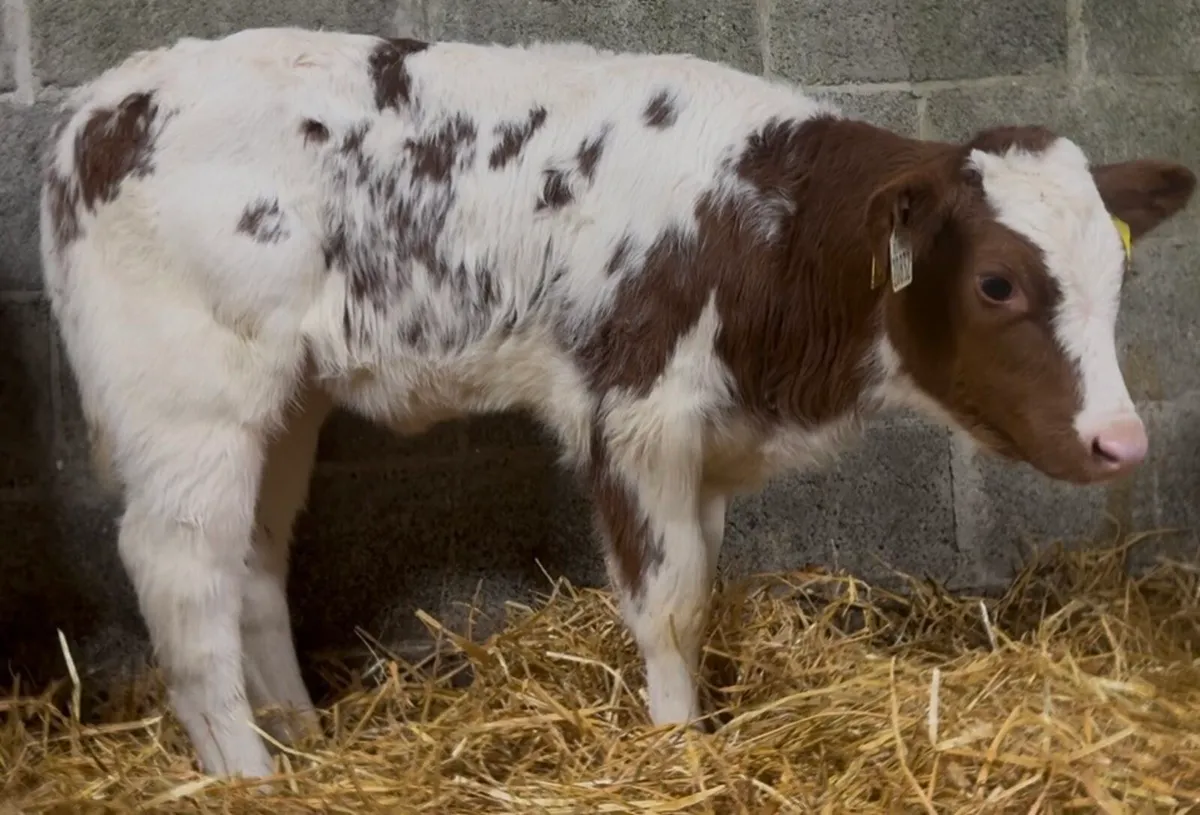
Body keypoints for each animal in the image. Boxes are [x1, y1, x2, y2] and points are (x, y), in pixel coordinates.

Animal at [38, 27, 1195, 779]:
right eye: (996, 283)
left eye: (1118, 270)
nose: (1120, 439)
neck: (764, 231)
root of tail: (103, 102)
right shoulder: (633, 410)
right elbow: (668, 599)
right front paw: (679, 750)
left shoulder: (711, 439)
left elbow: (705, 587)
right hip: (188, 398)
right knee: (181, 574)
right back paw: (246, 774)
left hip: (287, 398)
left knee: (254, 562)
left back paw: (306, 741)